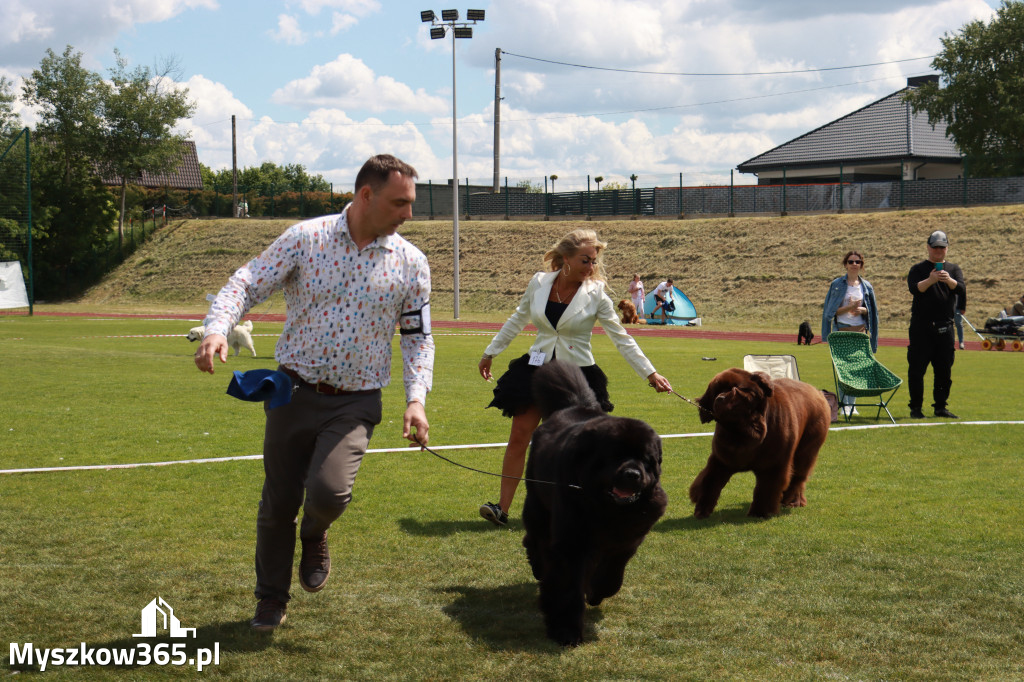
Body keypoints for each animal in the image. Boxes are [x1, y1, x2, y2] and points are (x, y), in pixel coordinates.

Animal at [520, 358, 663, 647]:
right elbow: (567, 587)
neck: (607, 508)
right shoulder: (571, 544)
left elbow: (612, 576)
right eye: (615, 456)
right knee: (535, 538)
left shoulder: (626, 541)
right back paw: (539, 567)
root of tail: (574, 406)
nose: (632, 474)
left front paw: (596, 593)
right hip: (538, 503)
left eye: (646, 459)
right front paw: (565, 631)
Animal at [692, 368, 827, 518]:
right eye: (717, 391)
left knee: (798, 476)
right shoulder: (721, 460)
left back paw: (792, 501)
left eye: (737, 388)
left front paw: (759, 512)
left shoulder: (773, 465)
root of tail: (816, 391)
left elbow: (766, 489)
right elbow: (709, 482)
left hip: (807, 447)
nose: (720, 398)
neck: (741, 433)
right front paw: (701, 510)